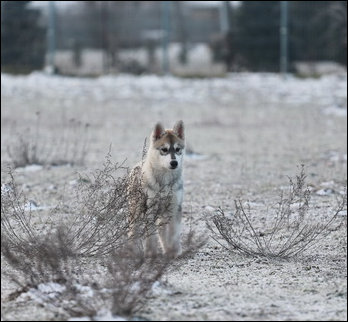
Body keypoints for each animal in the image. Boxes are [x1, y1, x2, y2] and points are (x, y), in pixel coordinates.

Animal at [128, 119, 185, 258]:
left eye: (177, 149)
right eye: (164, 149)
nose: (174, 163)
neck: (165, 182)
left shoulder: (175, 207)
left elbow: (174, 233)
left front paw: (174, 251)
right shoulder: (151, 209)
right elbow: (151, 235)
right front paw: (151, 252)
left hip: (163, 215)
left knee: (162, 231)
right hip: (136, 213)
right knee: (133, 232)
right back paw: (133, 251)